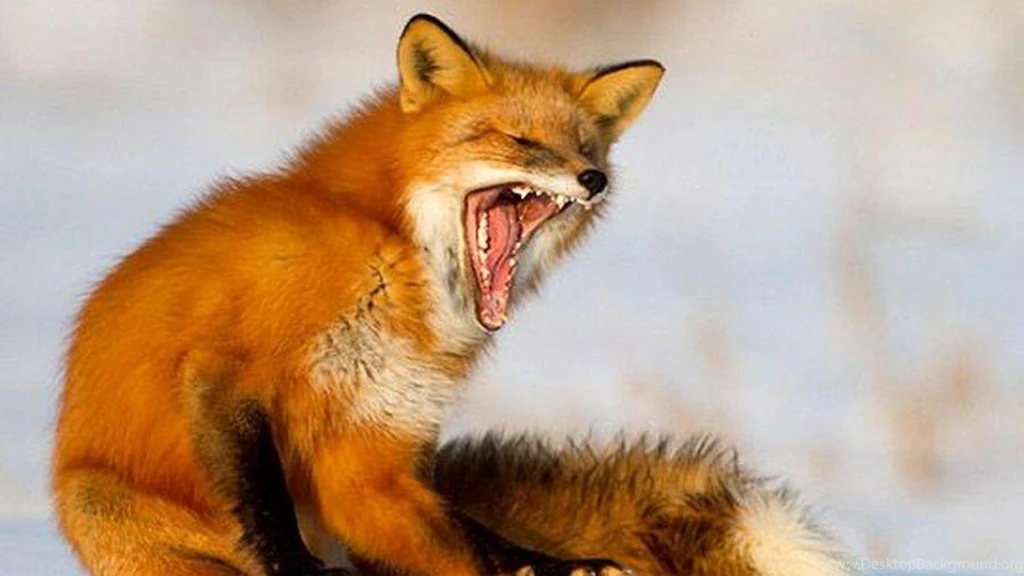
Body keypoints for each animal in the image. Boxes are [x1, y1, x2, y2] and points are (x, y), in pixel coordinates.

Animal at [53, 12, 665, 576]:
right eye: (520, 140)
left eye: (586, 148)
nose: (593, 179)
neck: (389, 250)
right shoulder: (222, 371)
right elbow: (263, 500)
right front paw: (295, 568)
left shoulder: (376, 443)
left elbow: (468, 537)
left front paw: (545, 564)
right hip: (103, 500)